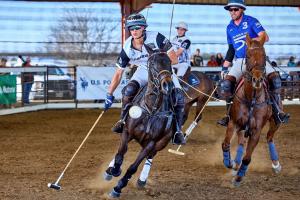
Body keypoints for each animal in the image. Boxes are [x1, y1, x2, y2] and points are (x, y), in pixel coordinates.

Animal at [103, 50, 213, 198]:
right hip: (190, 103)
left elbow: (133, 167)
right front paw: (113, 170)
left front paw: (118, 187)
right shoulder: (127, 132)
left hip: (200, 101)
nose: (167, 85)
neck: (151, 109)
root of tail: (209, 78)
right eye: (152, 63)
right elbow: (120, 154)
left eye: (169, 63)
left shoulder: (152, 142)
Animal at [221, 34, 282, 186]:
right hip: (241, 127)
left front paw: (238, 178)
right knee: (241, 142)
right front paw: (230, 163)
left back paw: (276, 165)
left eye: (264, 55)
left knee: (269, 137)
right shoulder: (234, 123)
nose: (257, 79)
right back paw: (235, 165)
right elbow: (225, 144)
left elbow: (247, 158)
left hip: (275, 122)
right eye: (247, 56)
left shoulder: (256, 130)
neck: (251, 98)